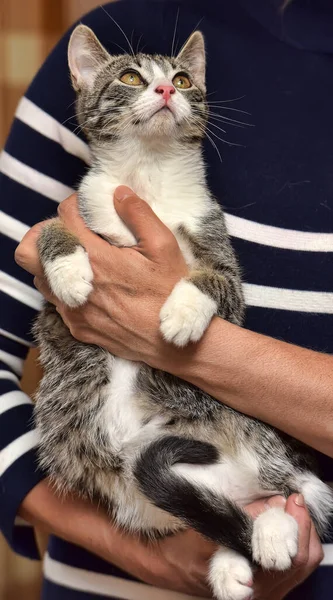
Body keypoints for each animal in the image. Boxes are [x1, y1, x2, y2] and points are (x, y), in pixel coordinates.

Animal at [33, 27, 332, 600]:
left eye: (184, 78)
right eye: (131, 77)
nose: (168, 91)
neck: (148, 181)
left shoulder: (221, 257)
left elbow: (212, 280)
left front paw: (182, 314)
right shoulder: (77, 226)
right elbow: (51, 231)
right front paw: (70, 272)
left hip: (246, 423)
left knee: (292, 486)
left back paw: (275, 532)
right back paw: (237, 558)